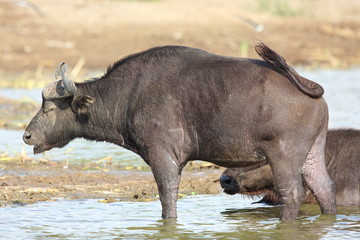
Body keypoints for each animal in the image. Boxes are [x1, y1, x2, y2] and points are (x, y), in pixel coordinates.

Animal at [23, 42, 336, 219]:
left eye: (49, 108)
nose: (26, 136)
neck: (128, 95)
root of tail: (306, 84)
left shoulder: (163, 155)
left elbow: (167, 195)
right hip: (311, 154)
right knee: (325, 189)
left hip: (283, 156)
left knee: (292, 193)